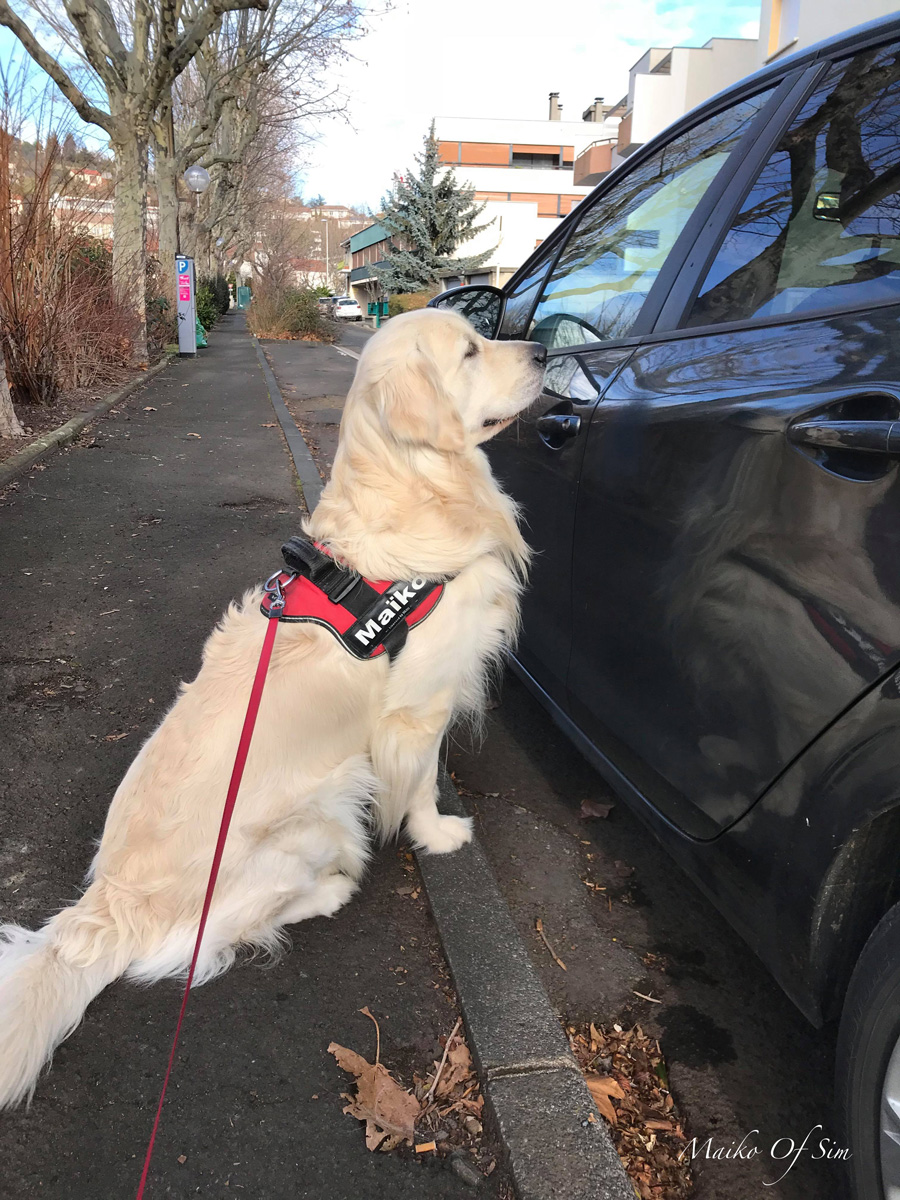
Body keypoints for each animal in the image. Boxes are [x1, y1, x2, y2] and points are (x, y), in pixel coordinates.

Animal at [0, 307, 547, 1108]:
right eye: (472, 351)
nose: (542, 349)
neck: (415, 487)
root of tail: (110, 906)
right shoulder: (415, 712)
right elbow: (419, 785)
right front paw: (439, 834)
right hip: (330, 801)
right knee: (213, 939)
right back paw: (331, 893)